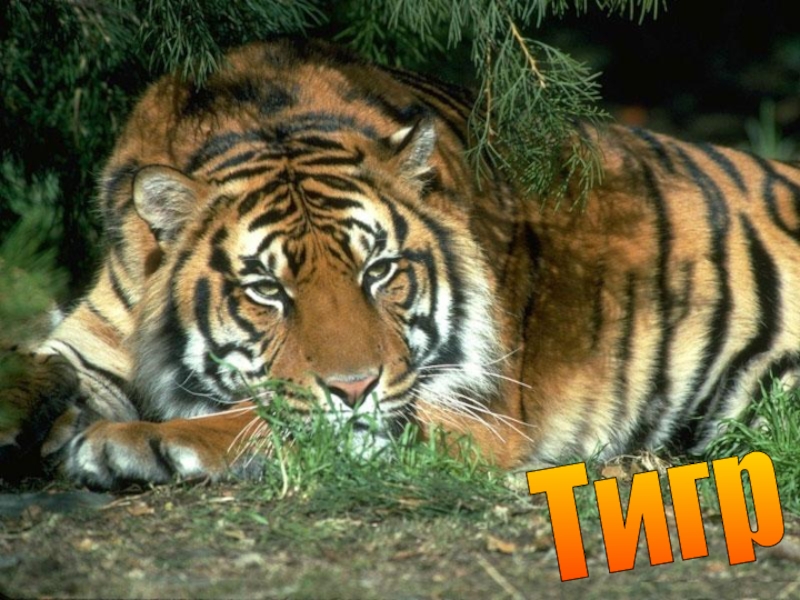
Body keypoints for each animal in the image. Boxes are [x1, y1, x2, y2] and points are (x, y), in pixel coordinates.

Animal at [2, 38, 800, 490]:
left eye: (378, 271)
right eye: (266, 289)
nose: (354, 386)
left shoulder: (469, 410)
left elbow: (268, 419)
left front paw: (125, 444)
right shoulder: (91, 338)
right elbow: (37, 369)